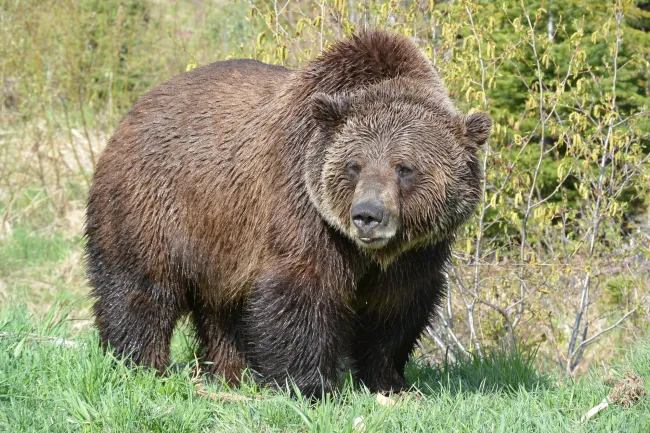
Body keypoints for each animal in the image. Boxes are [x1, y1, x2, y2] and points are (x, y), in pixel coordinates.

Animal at [85, 30, 491, 397]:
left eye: (404, 167)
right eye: (355, 166)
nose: (367, 215)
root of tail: (133, 111)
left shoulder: (418, 250)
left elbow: (398, 307)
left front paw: (391, 381)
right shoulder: (303, 207)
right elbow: (302, 292)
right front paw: (309, 386)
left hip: (221, 239)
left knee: (222, 310)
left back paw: (232, 373)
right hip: (155, 205)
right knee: (140, 289)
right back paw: (142, 364)